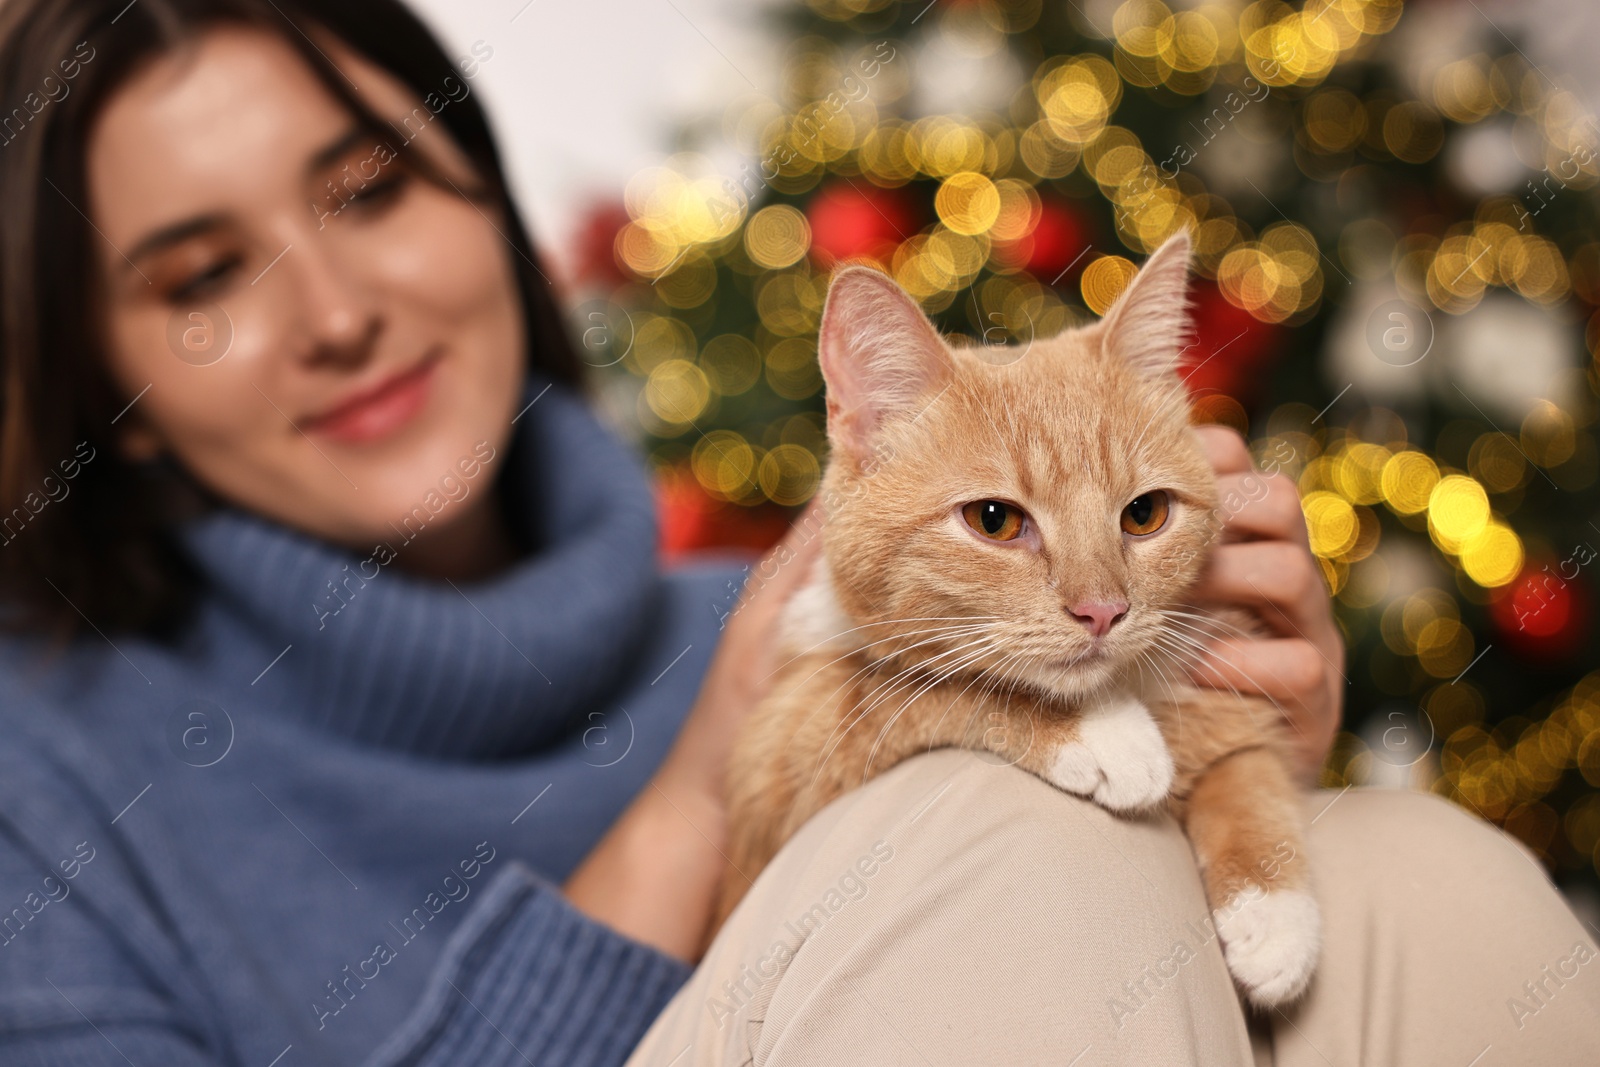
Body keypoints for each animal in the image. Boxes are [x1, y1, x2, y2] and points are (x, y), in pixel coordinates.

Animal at [720, 233, 1318, 1011]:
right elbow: (919, 686)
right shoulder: (776, 759)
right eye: (994, 520)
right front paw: (1103, 733)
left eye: (1145, 513)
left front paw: (1273, 909)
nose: (1103, 609)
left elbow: (1249, 762)